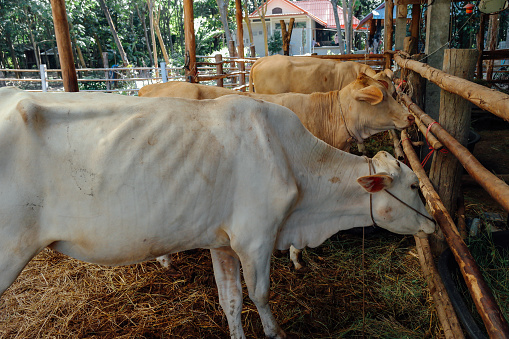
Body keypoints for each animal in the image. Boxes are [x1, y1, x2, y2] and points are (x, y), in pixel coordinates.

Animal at [0, 88, 432, 339]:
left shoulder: (222, 243)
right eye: (414, 186)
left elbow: (231, 301)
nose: (434, 224)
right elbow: (260, 295)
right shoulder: (255, 238)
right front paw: (275, 331)